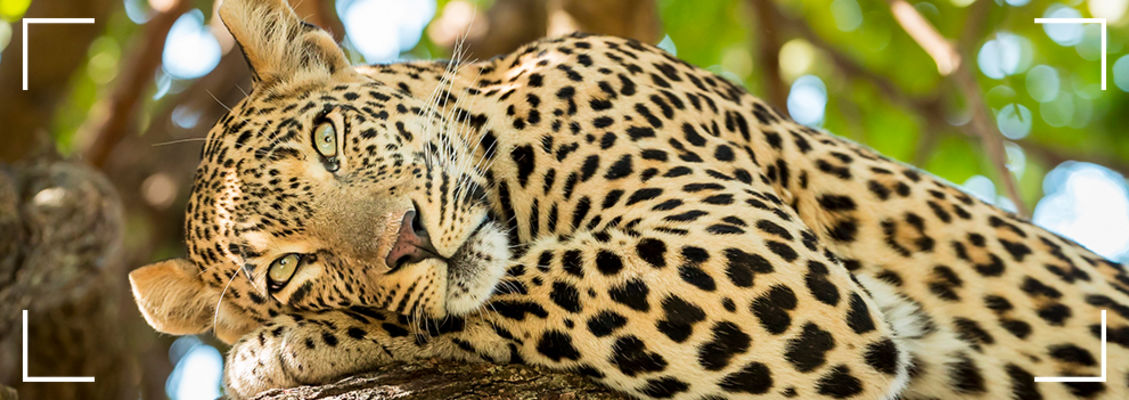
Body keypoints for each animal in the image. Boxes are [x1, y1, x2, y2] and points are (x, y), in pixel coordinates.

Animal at [128, 0, 1129, 397]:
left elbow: (523, 286)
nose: (408, 241)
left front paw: (280, 351)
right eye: (287, 270)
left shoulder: (751, 253)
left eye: (329, 142)